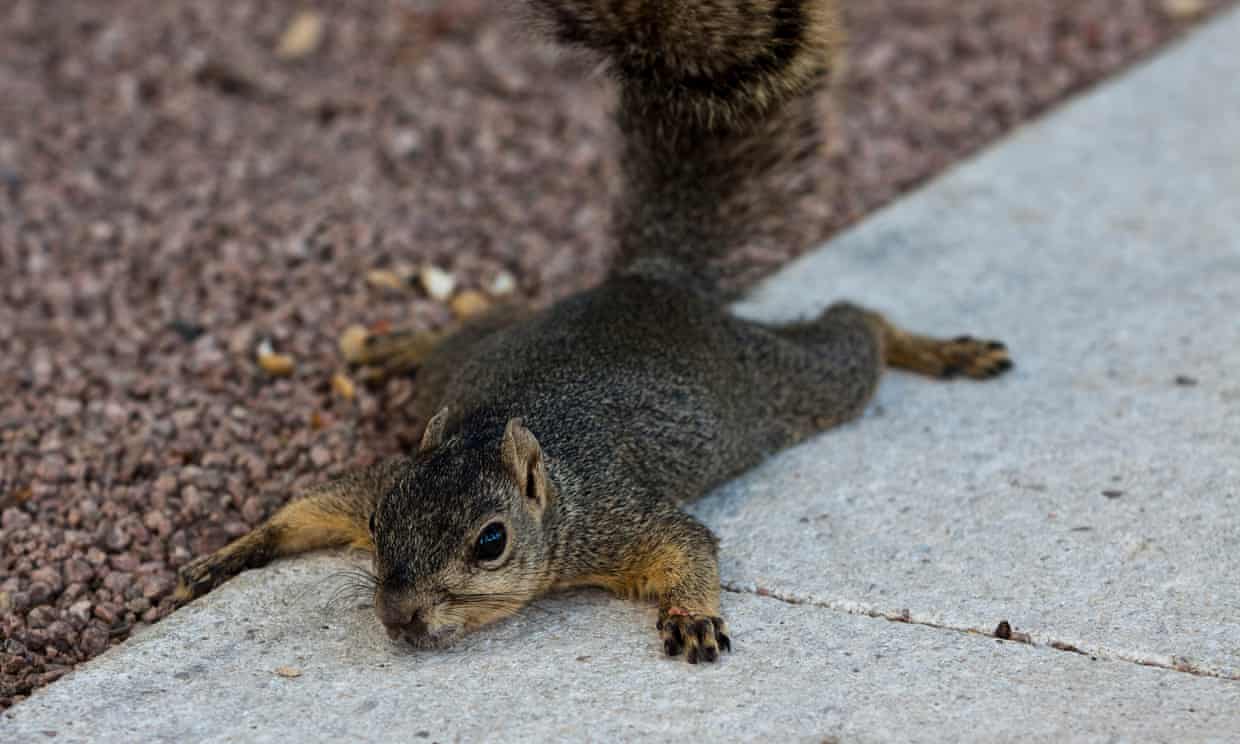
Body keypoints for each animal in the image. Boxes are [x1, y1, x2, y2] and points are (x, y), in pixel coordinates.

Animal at [175, 0, 1011, 665]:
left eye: (491, 542)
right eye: (381, 523)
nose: (399, 619)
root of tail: (649, 283)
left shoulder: (619, 519)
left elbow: (688, 545)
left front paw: (694, 614)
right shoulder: (379, 477)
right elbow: (309, 508)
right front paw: (226, 555)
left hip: (787, 384)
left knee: (854, 330)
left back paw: (938, 349)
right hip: (470, 358)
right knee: (481, 325)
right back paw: (400, 344)